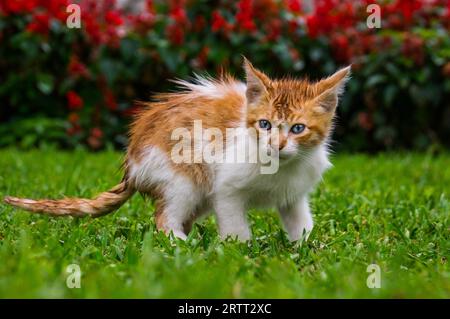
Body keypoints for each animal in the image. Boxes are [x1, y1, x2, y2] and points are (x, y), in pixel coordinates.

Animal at [3, 58, 350, 241]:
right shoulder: (227, 186)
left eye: (297, 129)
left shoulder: (295, 194)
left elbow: (299, 220)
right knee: (166, 216)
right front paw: (239, 249)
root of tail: (131, 164)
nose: (277, 145)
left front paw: (306, 245)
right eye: (264, 124)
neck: (280, 167)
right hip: (182, 176)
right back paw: (180, 243)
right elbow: (234, 221)